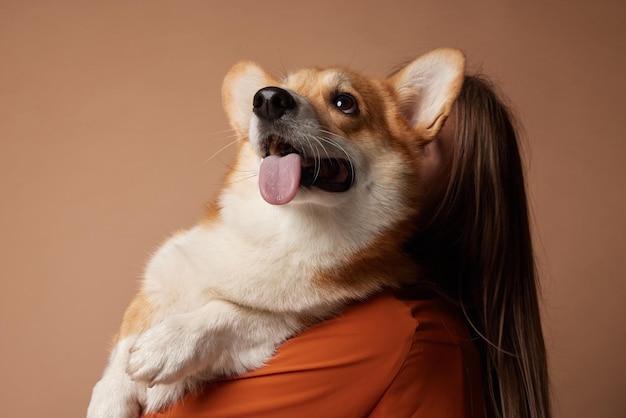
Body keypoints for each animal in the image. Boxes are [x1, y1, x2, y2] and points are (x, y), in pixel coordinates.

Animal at [86, 47, 464, 416]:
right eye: (274, 90)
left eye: (345, 102)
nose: (267, 99)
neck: (283, 232)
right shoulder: (157, 284)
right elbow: (122, 351)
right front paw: (111, 397)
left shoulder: (290, 320)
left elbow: (231, 312)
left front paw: (168, 344)